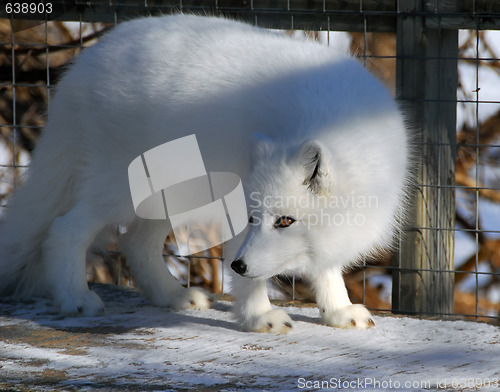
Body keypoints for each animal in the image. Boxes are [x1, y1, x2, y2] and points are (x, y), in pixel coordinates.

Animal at [0, 13, 408, 332]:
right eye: (252, 216)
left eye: (285, 221)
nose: (240, 265)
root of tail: (84, 63)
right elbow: (253, 278)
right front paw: (259, 318)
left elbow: (326, 269)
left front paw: (337, 310)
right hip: (123, 189)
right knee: (65, 230)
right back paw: (76, 298)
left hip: (175, 195)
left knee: (136, 243)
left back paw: (171, 296)